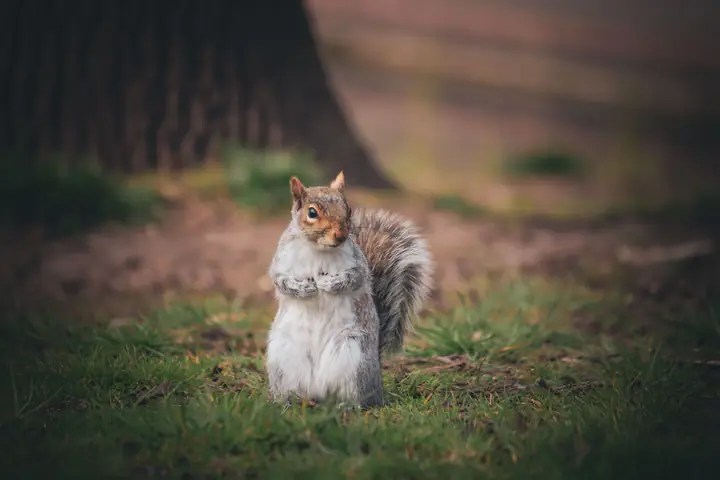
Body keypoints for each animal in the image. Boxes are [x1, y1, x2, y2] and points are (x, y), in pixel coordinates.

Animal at [265, 171, 433, 408]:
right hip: (284, 359)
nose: (341, 235)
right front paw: (303, 287)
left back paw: (346, 406)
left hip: (353, 359)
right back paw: (288, 402)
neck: (317, 249)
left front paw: (330, 284)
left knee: (353, 395)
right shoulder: (281, 261)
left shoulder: (357, 264)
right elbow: (280, 280)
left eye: (348, 209)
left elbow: (355, 278)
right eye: (312, 212)